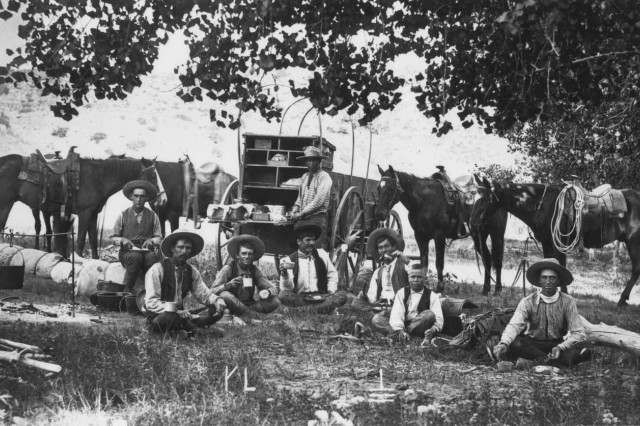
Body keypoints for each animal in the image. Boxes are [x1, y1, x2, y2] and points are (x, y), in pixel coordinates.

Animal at [0, 155, 159, 258]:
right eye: (152, 176)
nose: (159, 197)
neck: (98, 178)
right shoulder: (85, 213)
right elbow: (81, 240)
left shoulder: (93, 215)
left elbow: (93, 240)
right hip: (6, 205)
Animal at [372, 166, 508, 292]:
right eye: (378, 187)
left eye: (391, 188)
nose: (379, 213)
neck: (425, 201)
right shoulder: (420, 236)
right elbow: (424, 262)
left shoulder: (439, 236)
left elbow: (439, 262)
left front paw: (440, 287)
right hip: (479, 236)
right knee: (487, 258)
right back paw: (486, 289)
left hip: (496, 235)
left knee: (497, 261)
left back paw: (497, 289)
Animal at [472, 178, 640, 308]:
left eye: (484, 199)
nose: (474, 224)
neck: (540, 203)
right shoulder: (547, 243)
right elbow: (549, 265)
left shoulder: (558, 244)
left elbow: (561, 267)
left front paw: (563, 295)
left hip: (633, 242)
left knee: (636, 269)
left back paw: (622, 299)